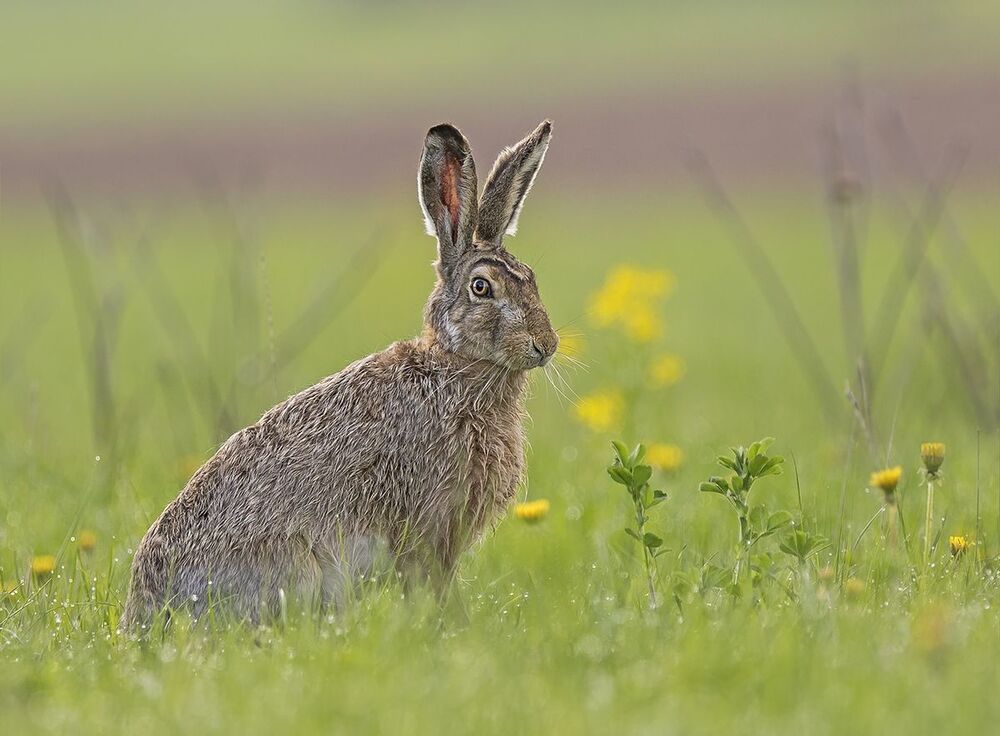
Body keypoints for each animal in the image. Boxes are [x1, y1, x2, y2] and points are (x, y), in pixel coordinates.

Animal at [121, 120, 558, 629]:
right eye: (482, 287)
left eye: (531, 278)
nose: (546, 345)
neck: (455, 368)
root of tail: (146, 614)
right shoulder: (427, 527)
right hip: (296, 569)